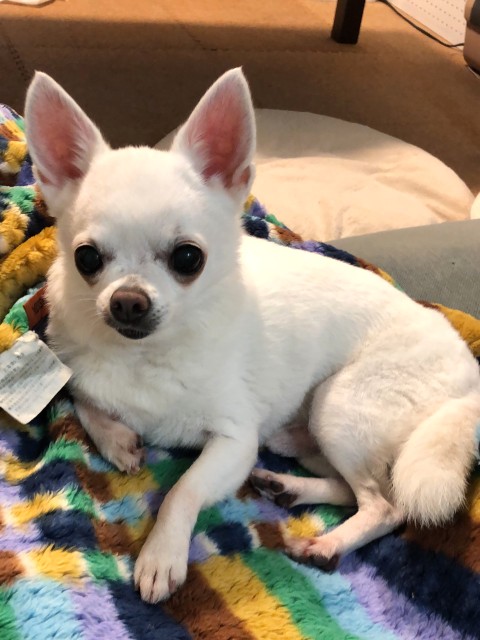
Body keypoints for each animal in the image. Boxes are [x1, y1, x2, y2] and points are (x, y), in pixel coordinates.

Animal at [25, 68, 480, 604]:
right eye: (87, 258)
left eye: (188, 258)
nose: (128, 300)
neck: (146, 354)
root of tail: (468, 373)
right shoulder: (80, 371)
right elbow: (83, 398)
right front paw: (117, 440)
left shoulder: (235, 442)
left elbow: (182, 490)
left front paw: (161, 556)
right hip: (311, 436)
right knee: (353, 488)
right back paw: (292, 488)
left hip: (341, 405)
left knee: (386, 505)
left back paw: (329, 543)